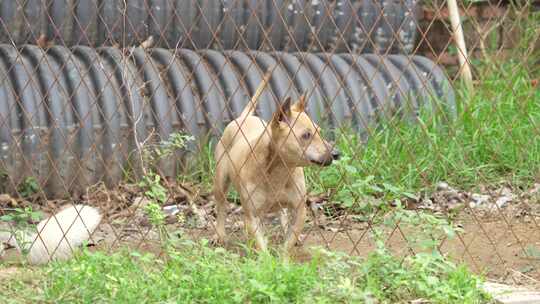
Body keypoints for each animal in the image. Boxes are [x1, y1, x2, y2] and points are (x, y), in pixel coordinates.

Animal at [213, 72, 340, 252]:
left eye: (319, 131)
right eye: (306, 135)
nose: (336, 154)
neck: (279, 171)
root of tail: (244, 117)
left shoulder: (300, 211)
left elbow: (288, 242)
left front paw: (284, 256)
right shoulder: (253, 217)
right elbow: (261, 246)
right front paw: (266, 259)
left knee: (283, 213)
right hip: (220, 183)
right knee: (221, 207)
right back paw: (219, 235)